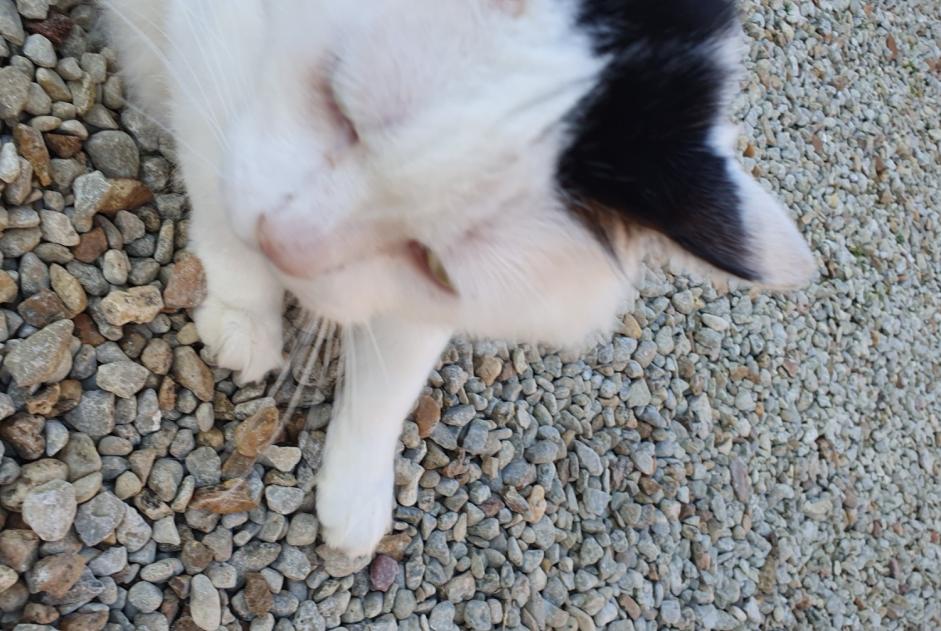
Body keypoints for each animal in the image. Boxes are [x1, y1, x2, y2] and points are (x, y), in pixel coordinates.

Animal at [99, 0, 812, 552]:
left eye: (434, 262)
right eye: (337, 104)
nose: (282, 244)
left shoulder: (427, 301)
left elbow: (388, 388)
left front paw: (356, 495)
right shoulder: (217, 37)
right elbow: (221, 178)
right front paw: (246, 315)